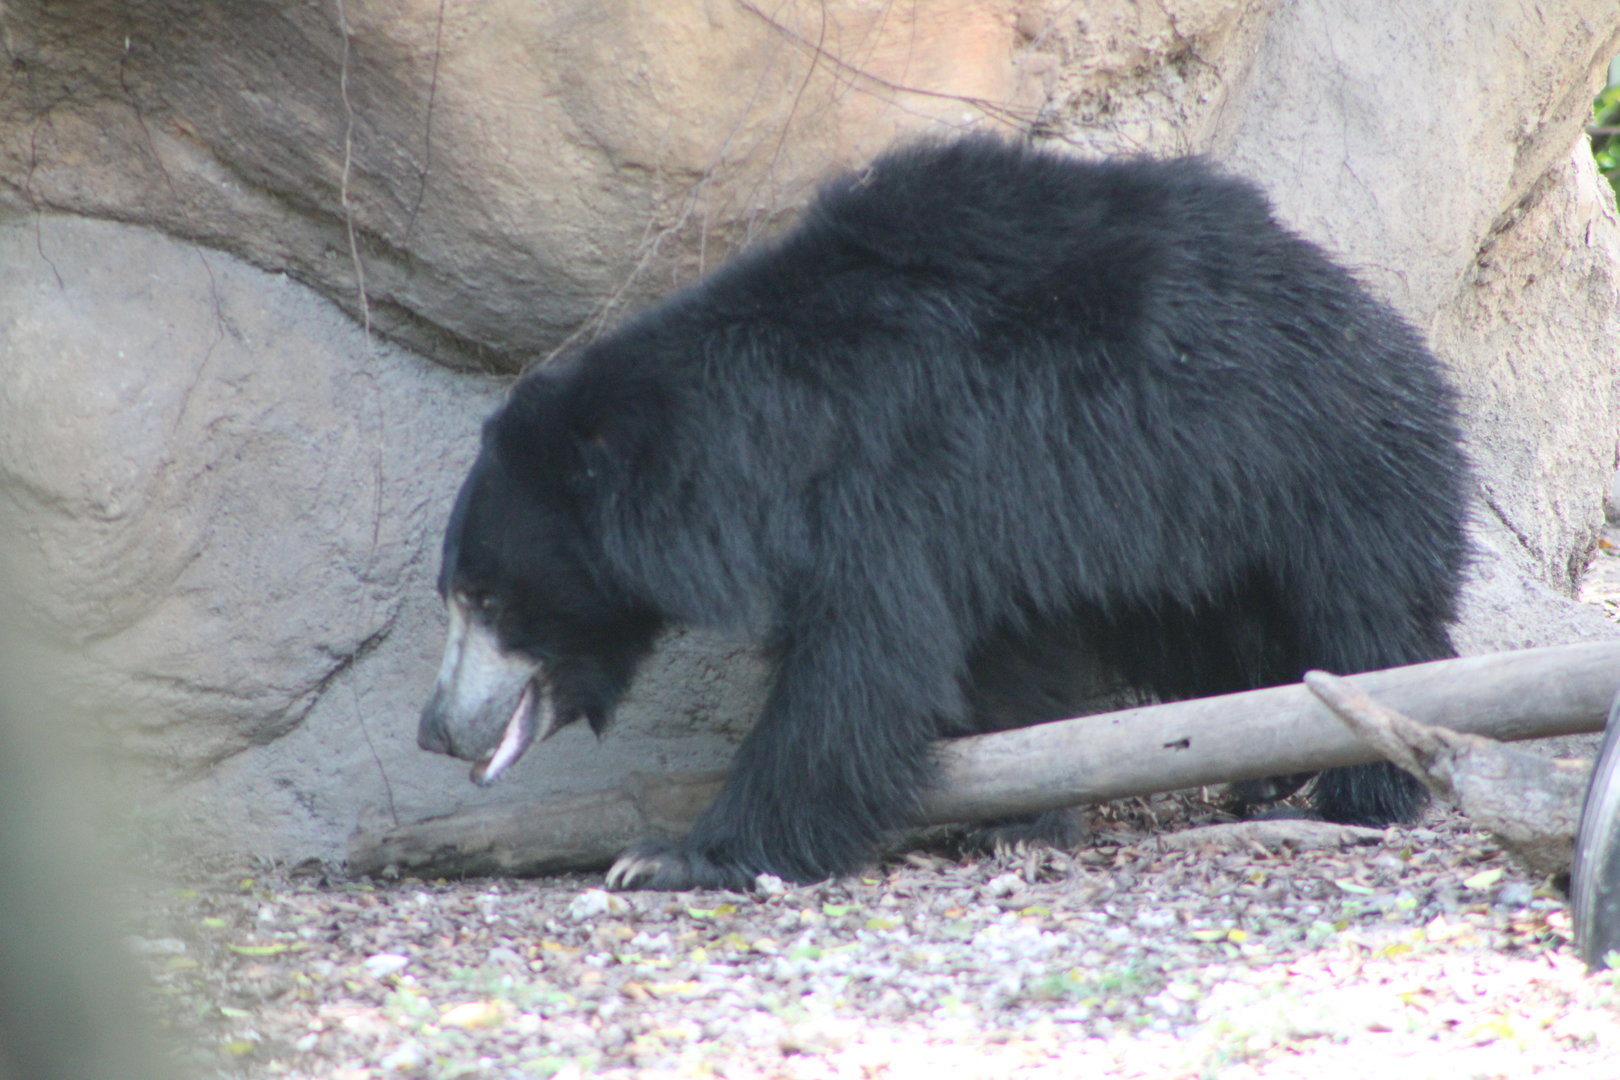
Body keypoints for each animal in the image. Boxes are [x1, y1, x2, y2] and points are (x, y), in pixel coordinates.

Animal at [417, 134, 1472, 892]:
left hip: (1314, 456)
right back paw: (1262, 767)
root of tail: (1376, 315)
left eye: (483, 597)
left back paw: (1362, 785)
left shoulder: (890, 480)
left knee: (1365, 609)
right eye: (456, 593)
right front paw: (1024, 819)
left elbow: (865, 667)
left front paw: (675, 857)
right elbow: (1004, 653)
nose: (434, 729)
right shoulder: (981, 513)